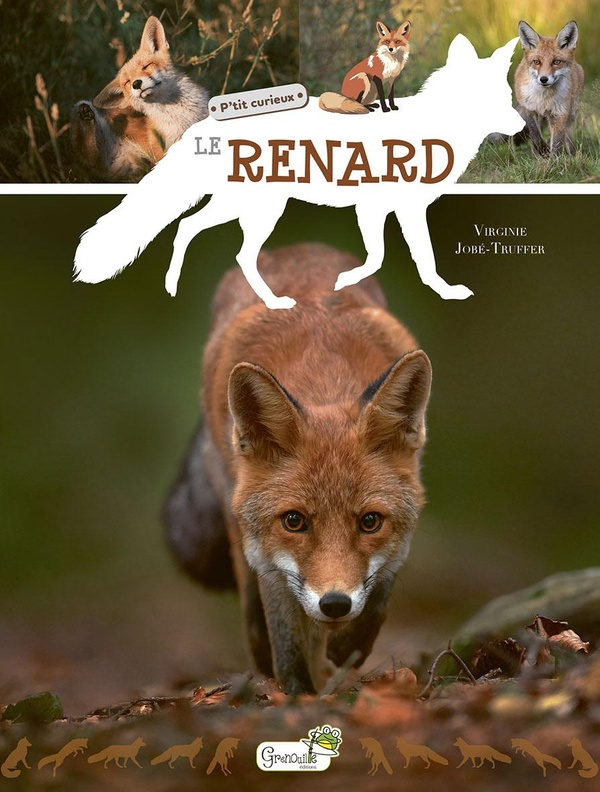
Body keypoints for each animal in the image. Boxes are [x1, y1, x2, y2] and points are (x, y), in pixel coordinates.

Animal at [71, 16, 208, 181]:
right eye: (127, 82)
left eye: (146, 66)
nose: (136, 83)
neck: (181, 117)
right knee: (92, 157)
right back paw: (86, 117)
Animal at [74, 35, 524, 308]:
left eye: (506, 95)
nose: (523, 128)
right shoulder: (396, 209)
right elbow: (419, 259)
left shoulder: (375, 208)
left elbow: (378, 257)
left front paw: (347, 282)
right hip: (260, 213)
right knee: (230, 249)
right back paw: (270, 302)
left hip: (240, 210)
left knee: (189, 229)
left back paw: (175, 286)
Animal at [163, 243, 432, 694]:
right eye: (294, 521)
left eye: (370, 521)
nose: (336, 604)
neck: (324, 377)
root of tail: (296, 248)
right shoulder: (270, 559)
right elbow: (287, 641)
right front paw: (297, 695)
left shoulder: (402, 528)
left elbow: (378, 598)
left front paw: (349, 646)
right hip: (231, 502)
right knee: (255, 615)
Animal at [514, 20, 584, 156]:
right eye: (537, 62)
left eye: (556, 62)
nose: (543, 79)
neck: (543, 98)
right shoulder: (529, 108)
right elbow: (535, 133)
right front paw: (542, 149)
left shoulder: (560, 112)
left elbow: (557, 142)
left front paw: (555, 160)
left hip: (571, 113)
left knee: (568, 136)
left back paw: (573, 156)